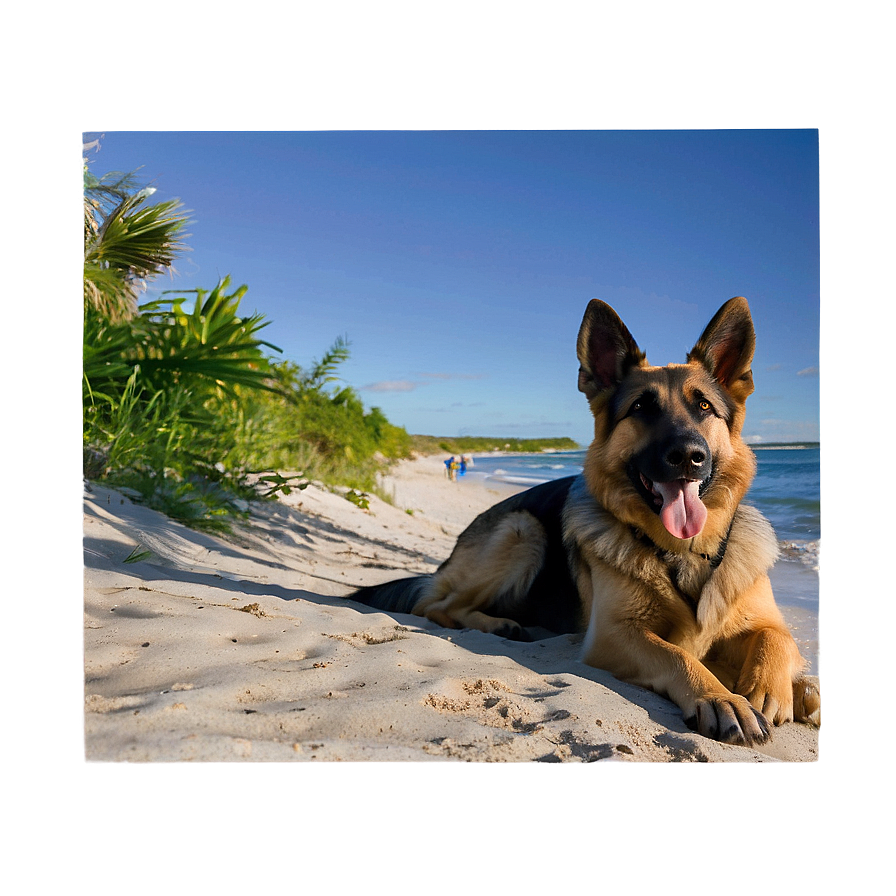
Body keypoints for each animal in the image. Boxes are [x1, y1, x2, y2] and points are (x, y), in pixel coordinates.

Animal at [348, 298, 820, 744]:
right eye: (641, 408)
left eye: (704, 406)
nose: (689, 456)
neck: (680, 552)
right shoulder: (615, 635)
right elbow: (679, 656)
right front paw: (723, 698)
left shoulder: (762, 623)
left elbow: (778, 636)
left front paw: (778, 688)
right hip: (523, 530)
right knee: (434, 606)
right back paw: (499, 624)